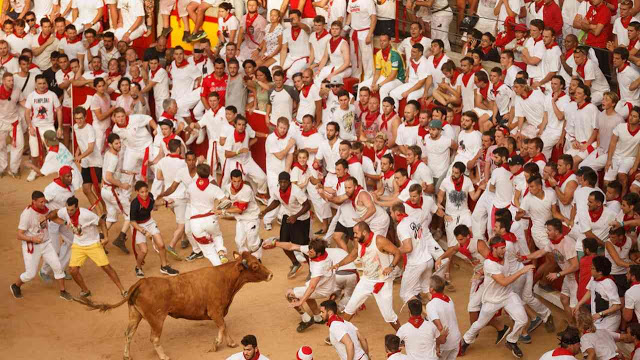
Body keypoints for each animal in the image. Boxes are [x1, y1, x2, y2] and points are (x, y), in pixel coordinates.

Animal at [77, 253, 272, 360]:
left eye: (258, 260)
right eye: (255, 265)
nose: (270, 274)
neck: (225, 278)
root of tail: (140, 283)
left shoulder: (220, 312)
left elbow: (225, 326)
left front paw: (230, 343)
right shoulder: (215, 311)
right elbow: (223, 326)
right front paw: (215, 345)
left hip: (135, 315)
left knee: (128, 334)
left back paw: (127, 355)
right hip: (156, 319)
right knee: (154, 338)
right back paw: (164, 356)